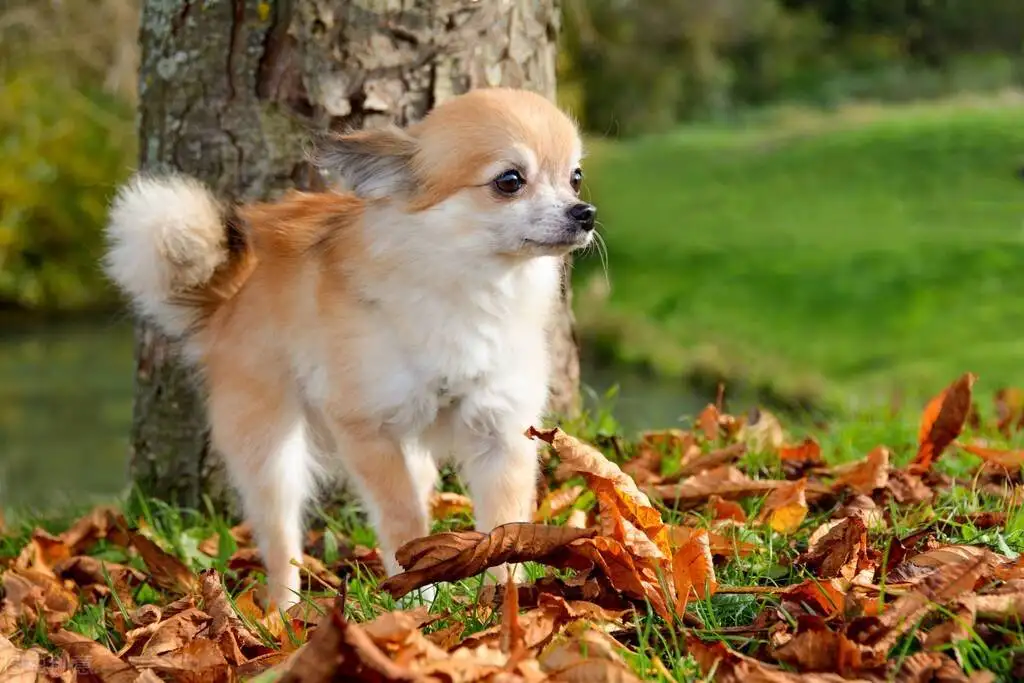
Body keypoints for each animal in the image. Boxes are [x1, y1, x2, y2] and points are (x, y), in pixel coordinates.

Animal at [99, 88, 598, 610]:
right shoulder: (369, 432)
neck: (469, 288)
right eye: (510, 181)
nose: (584, 212)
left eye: (575, 177)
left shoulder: (500, 432)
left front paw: (503, 599)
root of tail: (230, 296)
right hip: (273, 451)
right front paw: (417, 602)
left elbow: (504, 525)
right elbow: (402, 520)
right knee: (282, 538)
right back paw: (283, 612)